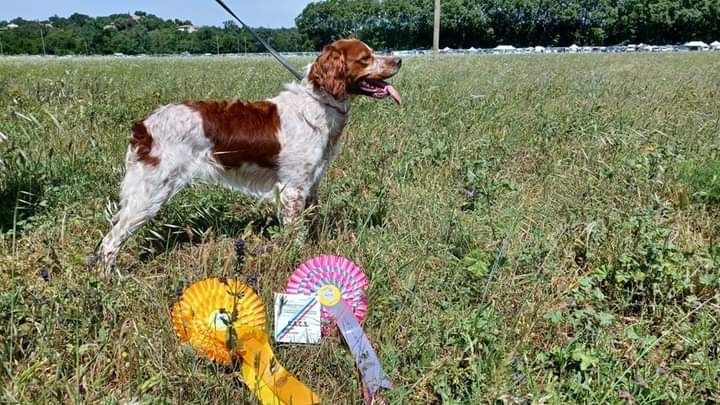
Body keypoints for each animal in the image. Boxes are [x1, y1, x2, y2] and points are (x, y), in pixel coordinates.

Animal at [93, 39, 402, 270]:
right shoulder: (292, 190)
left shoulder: (310, 186)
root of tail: (144, 126)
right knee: (110, 242)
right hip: (150, 194)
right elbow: (296, 234)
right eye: (365, 57)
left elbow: (309, 225)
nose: (398, 60)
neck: (319, 104)